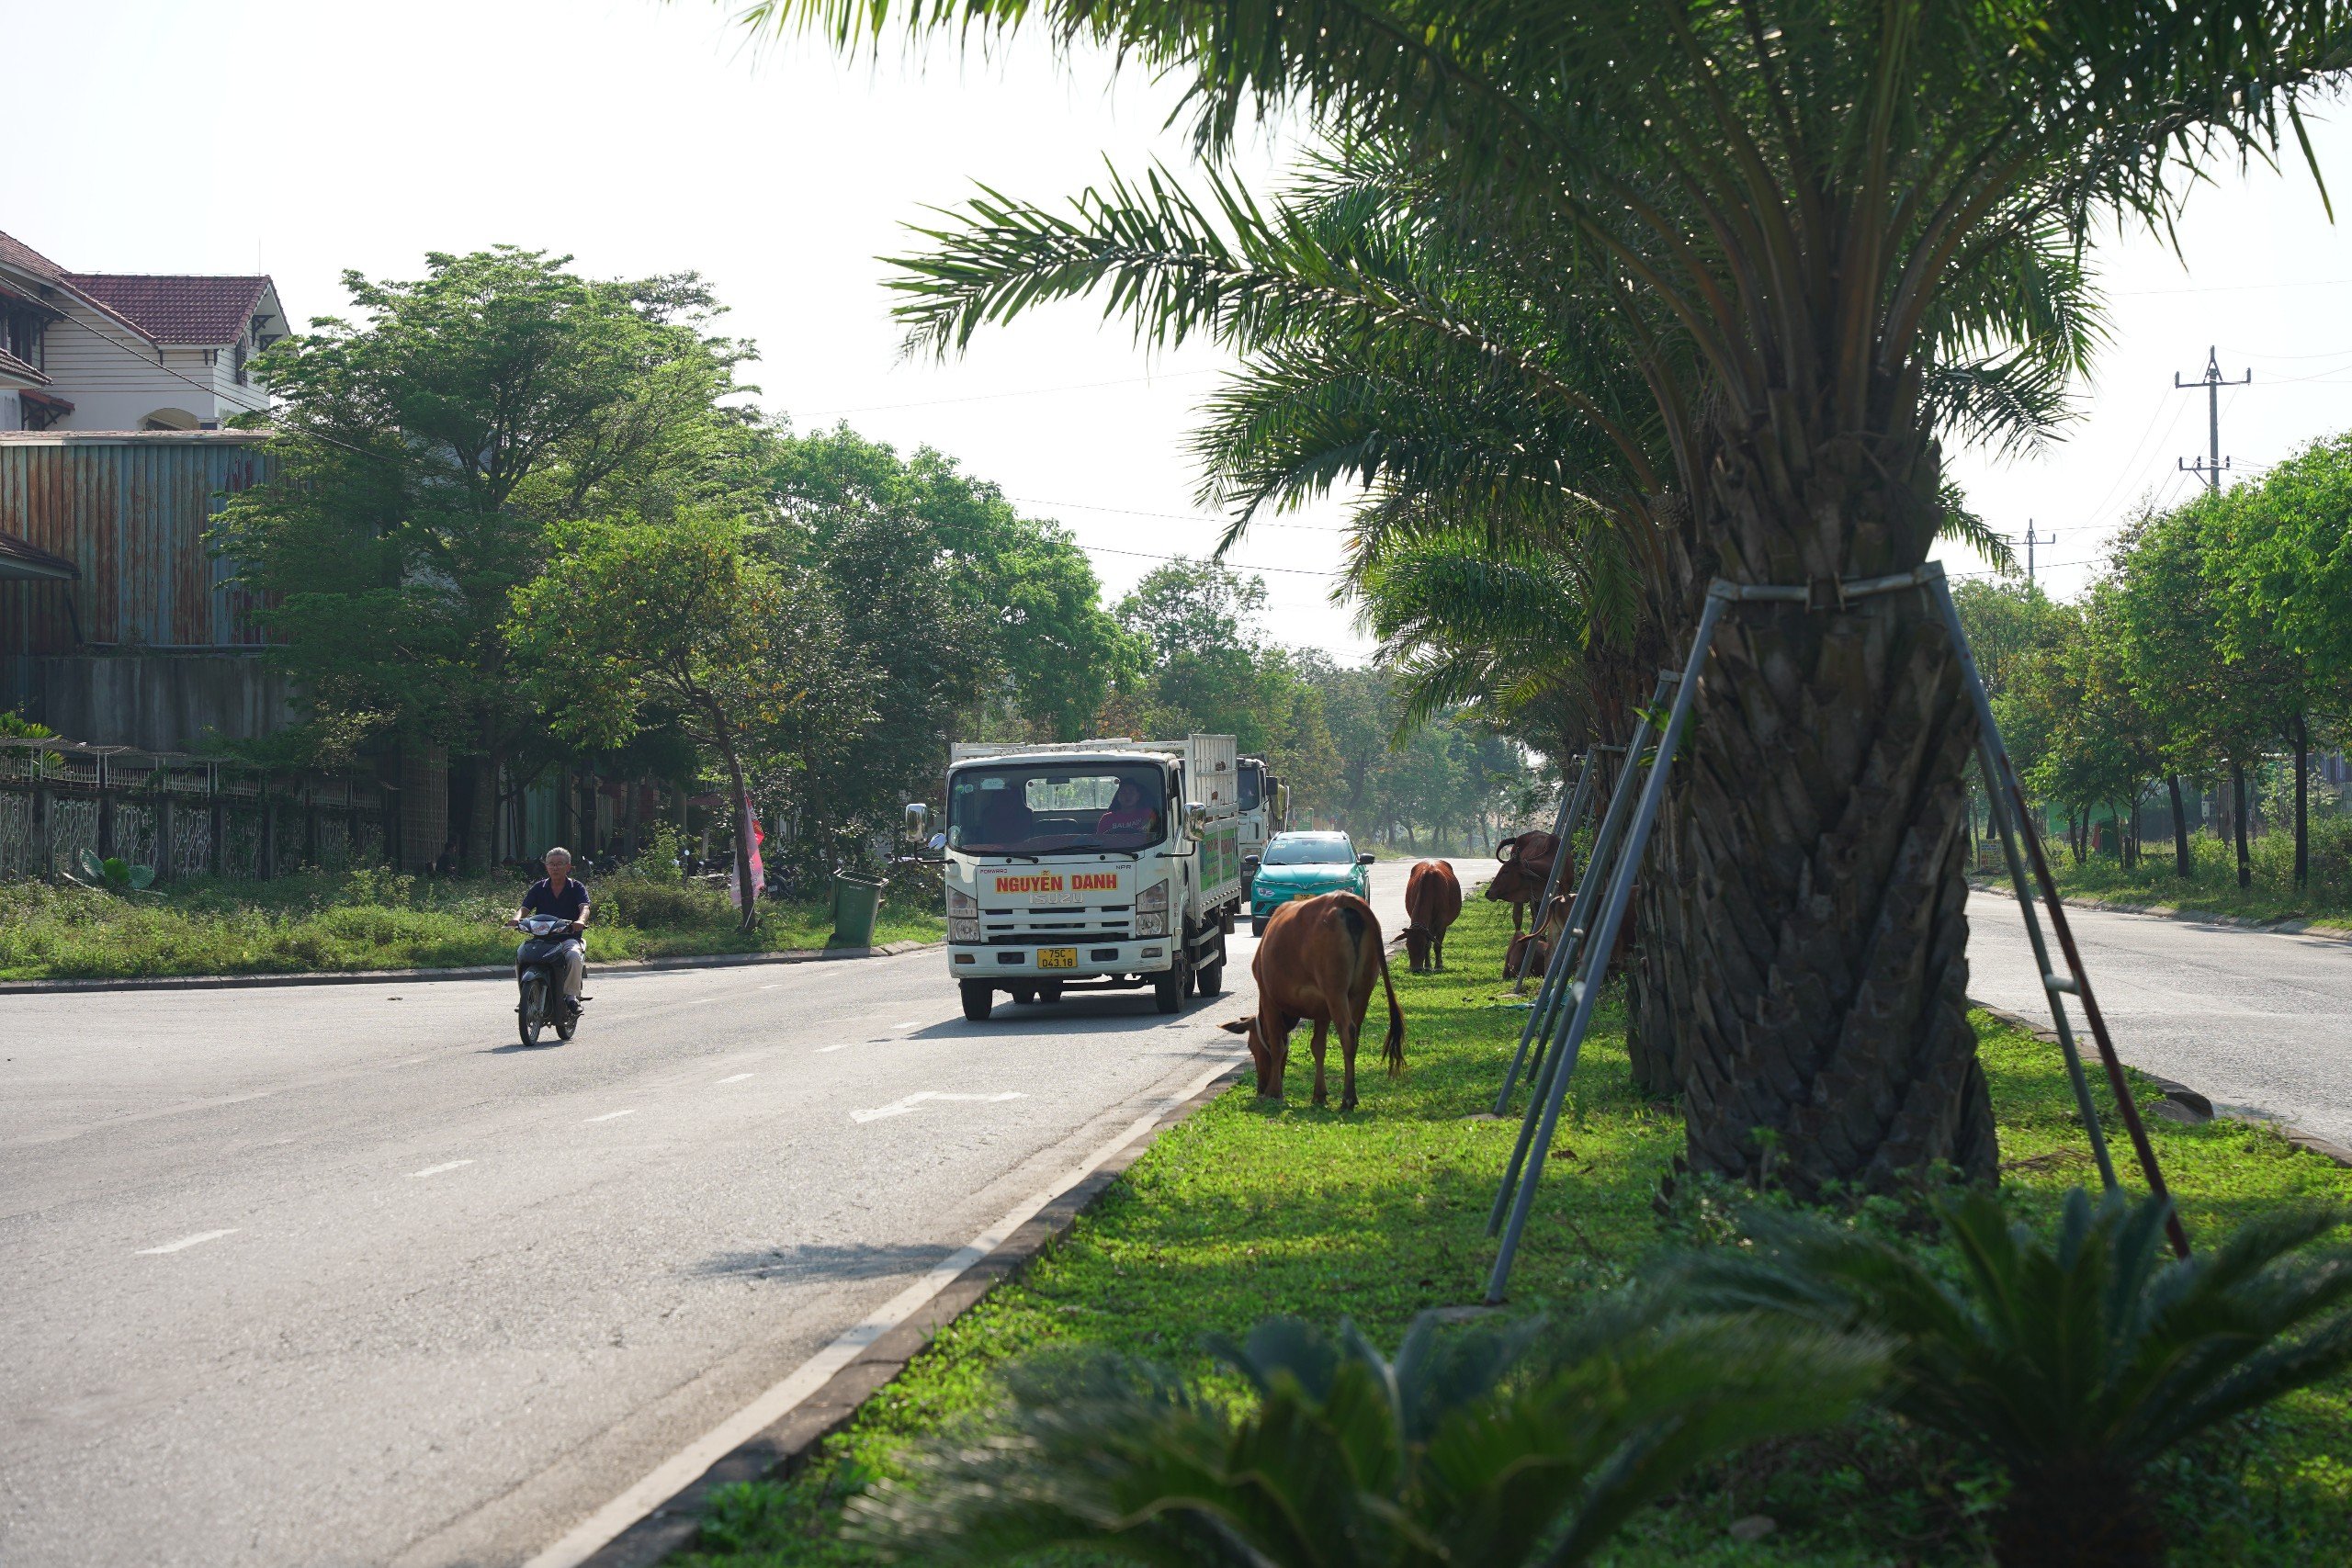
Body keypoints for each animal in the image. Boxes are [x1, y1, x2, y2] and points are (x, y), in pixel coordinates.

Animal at [1223, 893, 1401, 1114]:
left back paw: (1348, 1098)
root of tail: (1343, 898)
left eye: (1250, 1045)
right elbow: (1318, 1046)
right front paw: (1319, 1094)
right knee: (1355, 1034)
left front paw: (1274, 1092)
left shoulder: (1267, 997)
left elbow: (1277, 1045)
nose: (1260, 1087)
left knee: (1347, 1031)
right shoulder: (1322, 1010)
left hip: (1335, 990)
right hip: (1362, 989)